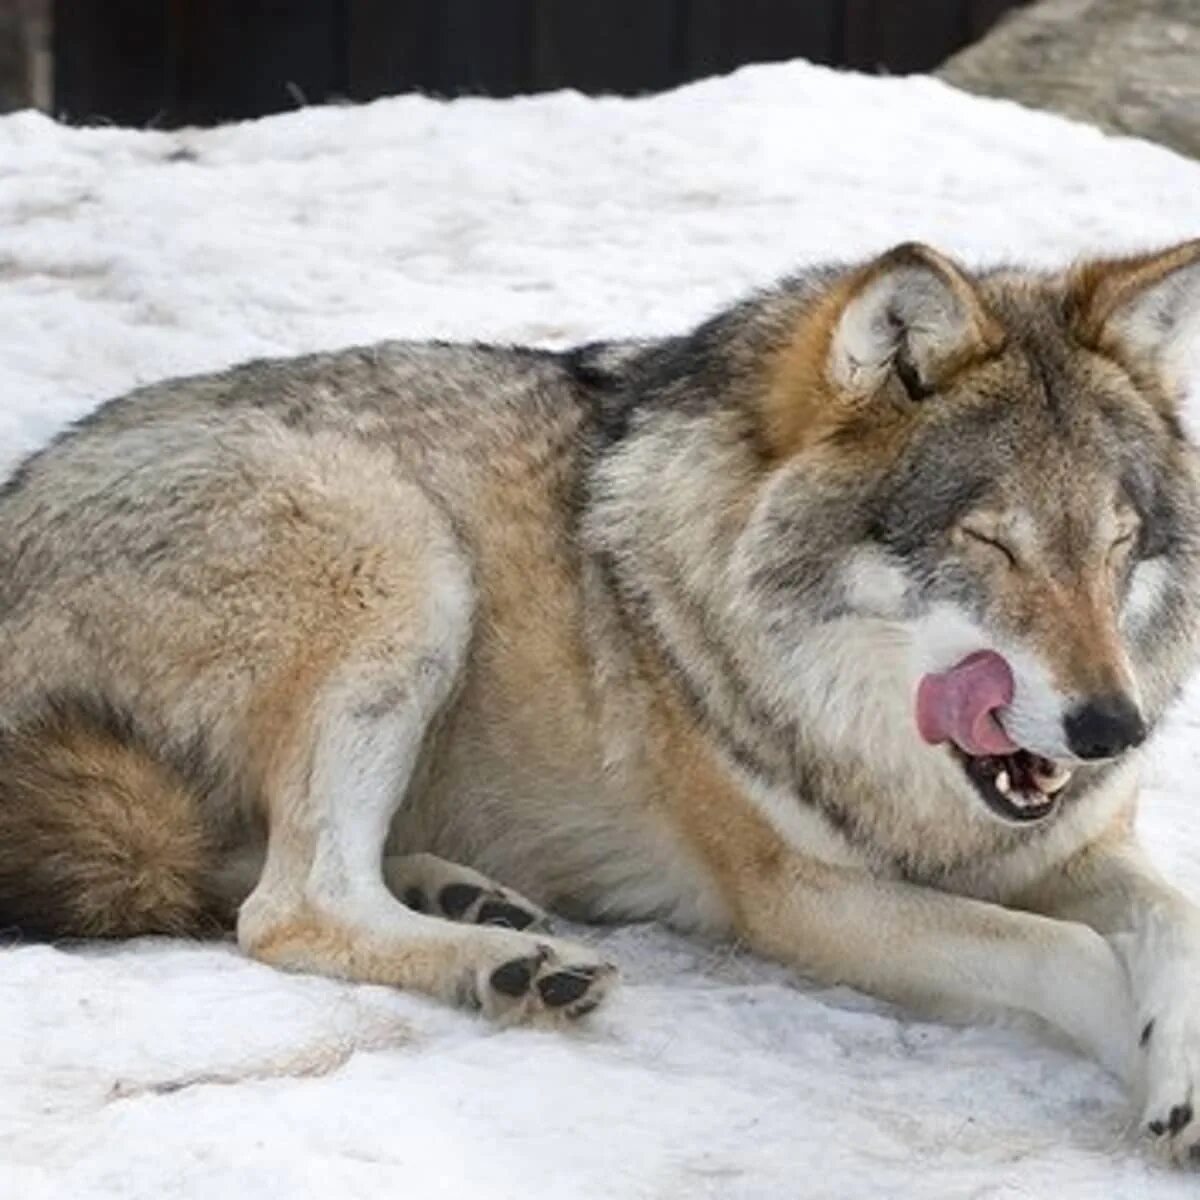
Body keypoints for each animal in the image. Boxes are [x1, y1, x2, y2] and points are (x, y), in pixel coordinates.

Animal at [2, 241, 1200, 1152]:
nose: (1114, 728)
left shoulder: (1073, 846)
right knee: (286, 906)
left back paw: (467, 901)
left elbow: (1174, 922)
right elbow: (1068, 953)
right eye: (989, 541)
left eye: (1118, 544)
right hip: (402, 552)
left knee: (247, 874)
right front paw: (1144, 1065)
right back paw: (509, 964)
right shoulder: (803, 899)